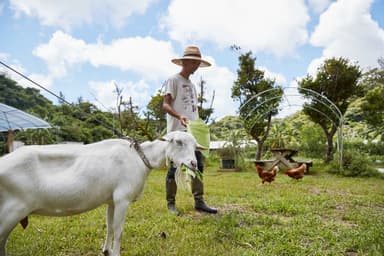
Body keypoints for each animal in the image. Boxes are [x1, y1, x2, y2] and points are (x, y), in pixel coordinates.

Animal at [0, 132, 202, 256]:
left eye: (195, 147)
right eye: (178, 142)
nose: (193, 163)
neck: (139, 158)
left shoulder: (112, 200)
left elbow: (110, 227)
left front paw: (106, 251)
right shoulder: (122, 199)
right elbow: (119, 230)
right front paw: (116, 253)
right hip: (11, 211)